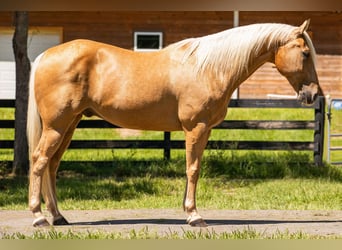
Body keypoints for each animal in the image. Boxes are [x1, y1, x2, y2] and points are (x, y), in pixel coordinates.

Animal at [27, 19, 324, 227]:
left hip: (69, 125)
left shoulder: (202, 130)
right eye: (305, 53)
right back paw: (39, 217)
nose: (312, 94)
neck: (209, 68)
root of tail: (46, 55)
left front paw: (187, 209)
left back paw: (57, 216)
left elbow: (193, 169)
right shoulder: (196, 128)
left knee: (52, 166)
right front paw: (194, 216)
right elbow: (192, 169)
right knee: (40, 161)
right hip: (56, 126)